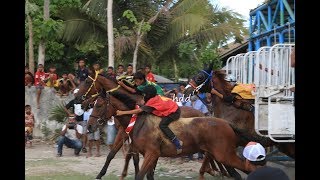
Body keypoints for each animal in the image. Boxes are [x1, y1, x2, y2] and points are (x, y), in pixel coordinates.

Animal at [87, 91, 264, 180]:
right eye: (93, 105)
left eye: (99, 105)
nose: (89, 126)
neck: (137, 121)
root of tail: (226, 123)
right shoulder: (150, 155)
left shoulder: (151, 154)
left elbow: (140, 175)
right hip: (221, 155)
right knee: (237, 172)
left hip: (224, 155)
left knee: (249, 167)